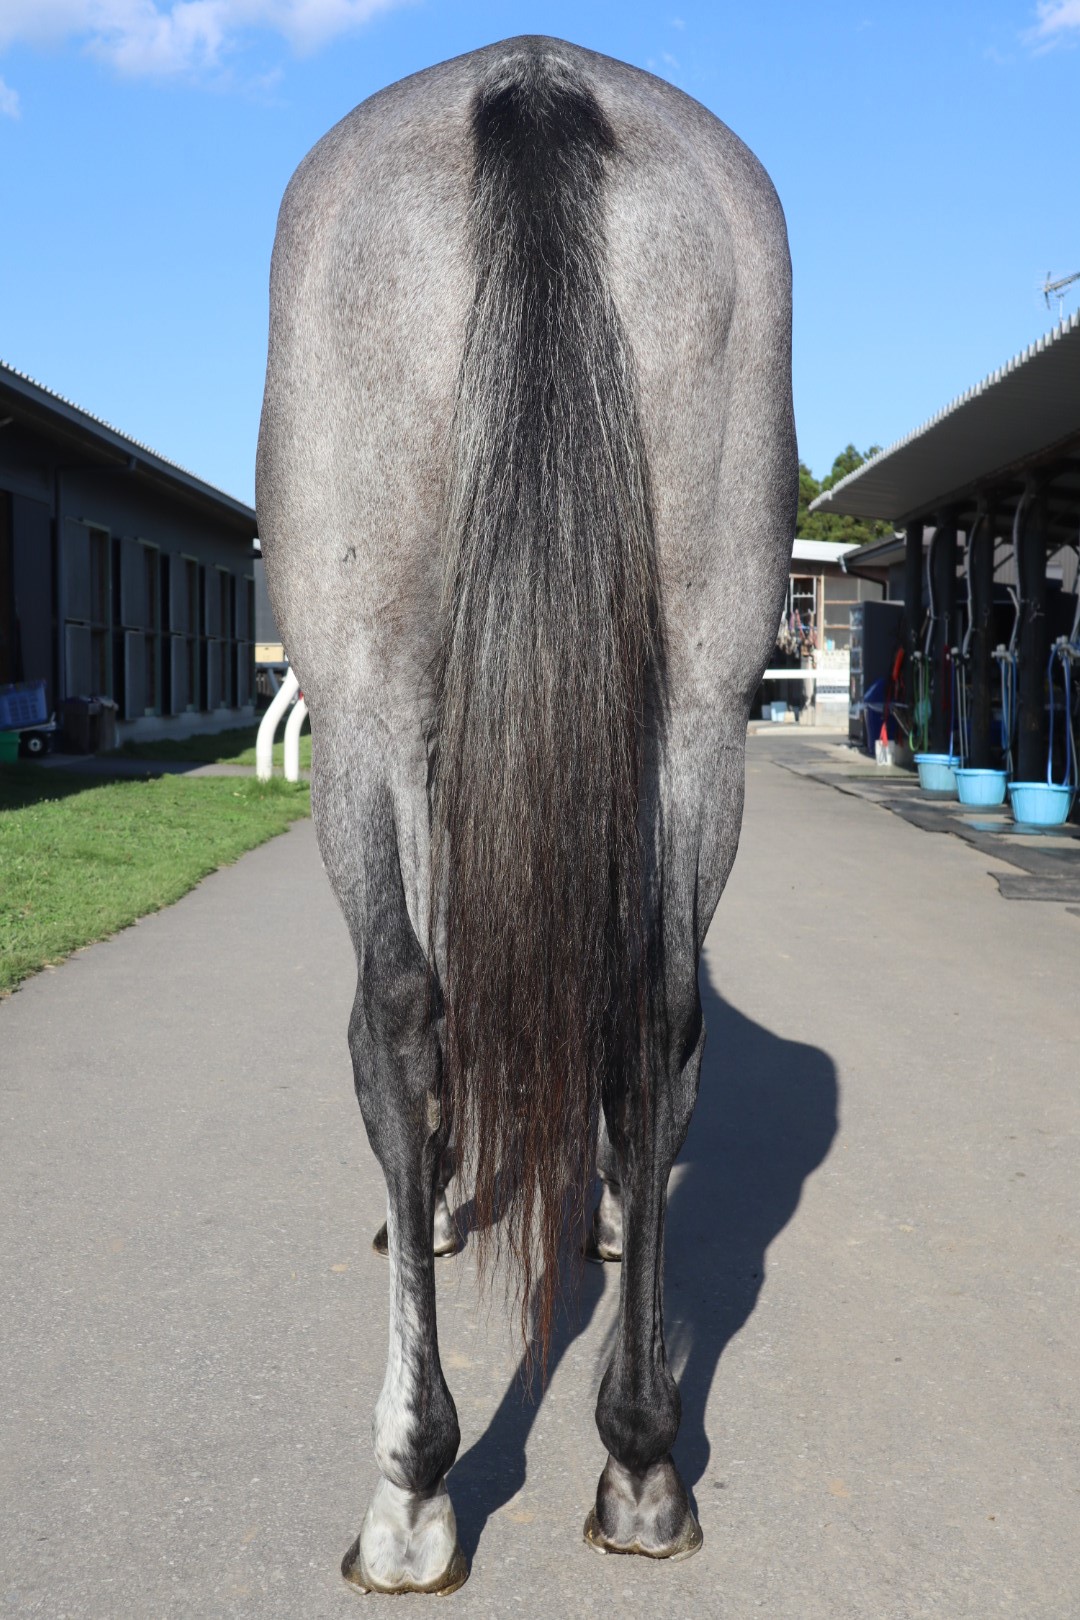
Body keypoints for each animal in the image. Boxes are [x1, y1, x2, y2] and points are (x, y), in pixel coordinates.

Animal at [256, 35, 795, 1595]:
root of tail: (536, 87)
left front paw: (428, 1206)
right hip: (702, 708)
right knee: (655, 1018)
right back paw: (641, 1461)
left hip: (362, 701)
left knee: (399, 1019)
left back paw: (413, 1491)